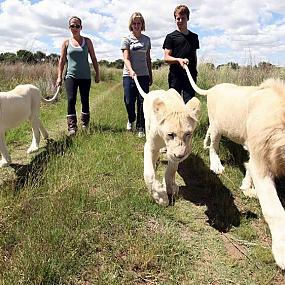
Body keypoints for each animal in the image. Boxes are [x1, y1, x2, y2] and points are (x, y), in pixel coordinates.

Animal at [133, 75, 200, 206]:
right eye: (170, 134)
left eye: (188, 134)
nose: (180, 155)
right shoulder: (150, 146)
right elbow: (149, 174)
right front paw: (160, 196)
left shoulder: (174, 154)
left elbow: (171, 170)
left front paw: (170, 187)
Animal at [184, 64, 285, 268]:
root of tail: (213, 88)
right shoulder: (261, 159)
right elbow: (274, 210)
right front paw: (282, 252)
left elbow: (249, 171)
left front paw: (247, 187)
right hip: (218, 125)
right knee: (214, 147)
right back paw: (216, 165)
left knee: (209, 135)